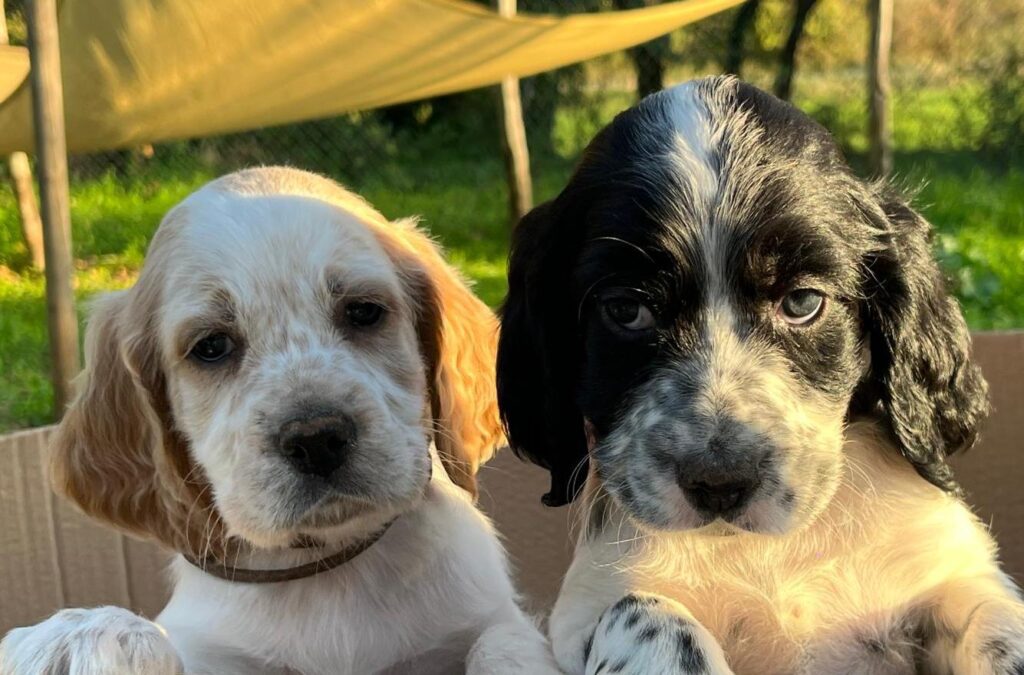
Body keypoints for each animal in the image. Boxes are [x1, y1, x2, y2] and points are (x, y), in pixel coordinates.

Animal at [0, 167, 561, 675]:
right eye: (211, 346)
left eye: (363, 311)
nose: (317, 440)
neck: (332, 570)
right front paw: (79, 636)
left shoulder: (486, 617)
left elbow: (502, 641)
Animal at [497, 75, 1024, 675]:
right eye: (627, 310)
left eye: (802, 302)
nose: (719, 483)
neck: (765, 553)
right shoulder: (584, 609)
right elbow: (645, 612)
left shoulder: (955, 572)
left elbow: (999, 626)